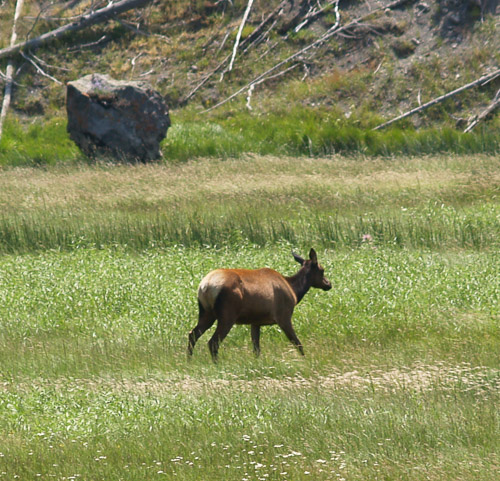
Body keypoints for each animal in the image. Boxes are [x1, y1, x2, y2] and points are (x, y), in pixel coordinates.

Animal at [188, 249, 332, 358]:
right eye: (322, 270)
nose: (328, 284)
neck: (295, 292)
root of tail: (205, 286)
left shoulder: (255, 321)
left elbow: (256, 349)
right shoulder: (283, 316)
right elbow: (297, 342)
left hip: (206, 313)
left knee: (192, 334)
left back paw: (189, 361)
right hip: (227, 314)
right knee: (213, 342)